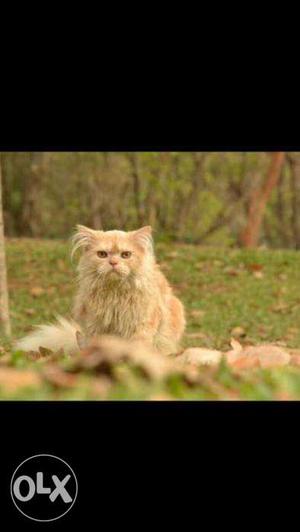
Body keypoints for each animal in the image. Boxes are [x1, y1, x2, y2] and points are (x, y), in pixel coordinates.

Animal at [15, 224, 188, 354]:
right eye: (102, 254)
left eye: (126, 255)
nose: (113, 263)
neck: (115, 293)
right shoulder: (96, 327)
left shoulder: (141, 326)